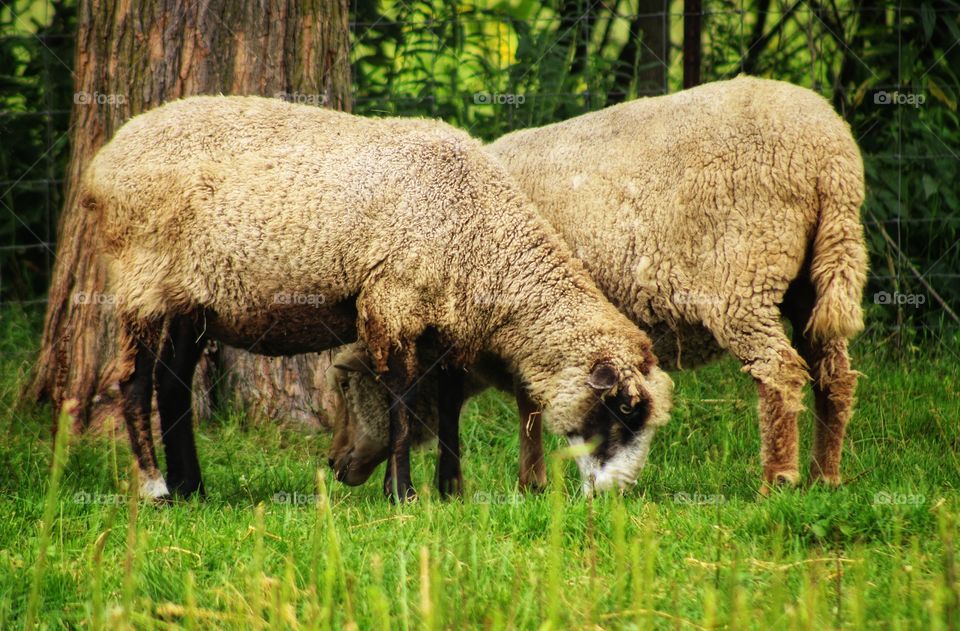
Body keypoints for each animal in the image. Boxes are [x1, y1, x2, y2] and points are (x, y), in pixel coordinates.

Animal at [88, 94, 676, 502]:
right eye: (623, 409)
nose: (615, 496)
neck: (485, 238)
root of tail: (103, 162)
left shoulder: (444, 320)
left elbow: (447, 400)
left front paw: (450, 490)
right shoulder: (391, 301)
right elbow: (400, 396)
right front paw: (403, 494)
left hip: (192, 299)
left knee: (173, 382)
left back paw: (192, 488)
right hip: (142, 277)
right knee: (133, 382)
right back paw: (156, 489)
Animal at [330, 76, 872, 494]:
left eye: (351, 385)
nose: (336, 465)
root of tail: (832, 156)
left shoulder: (529, 327)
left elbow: (528, 403)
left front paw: (530, 482)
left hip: (744, 278)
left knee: (780, 372)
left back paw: (776, 480)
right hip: (816, 275)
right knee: (834, 375)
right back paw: (825, 477)